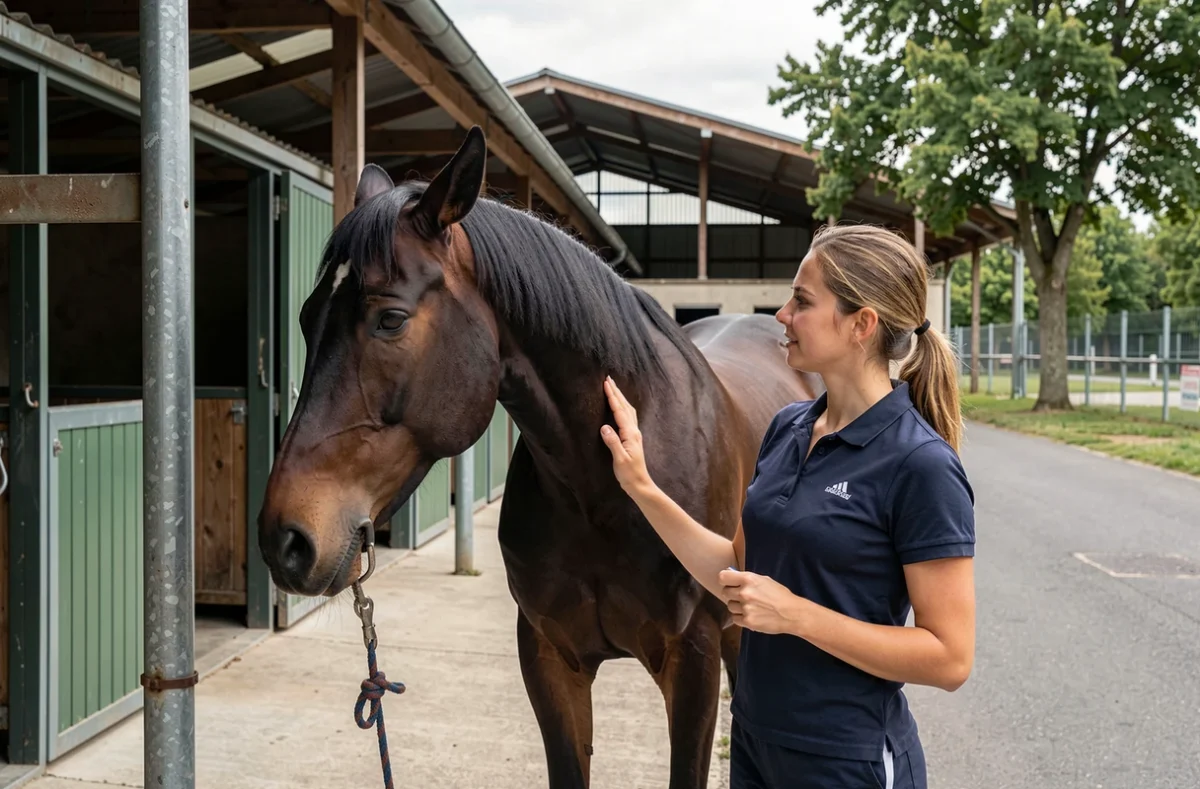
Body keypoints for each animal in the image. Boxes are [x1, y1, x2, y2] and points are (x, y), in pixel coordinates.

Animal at [257, 125, 824, 788]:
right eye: (305, 318)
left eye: (390, 319)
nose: (284, 540)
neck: (603, 485)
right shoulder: (551, 656)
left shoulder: (694, 658)